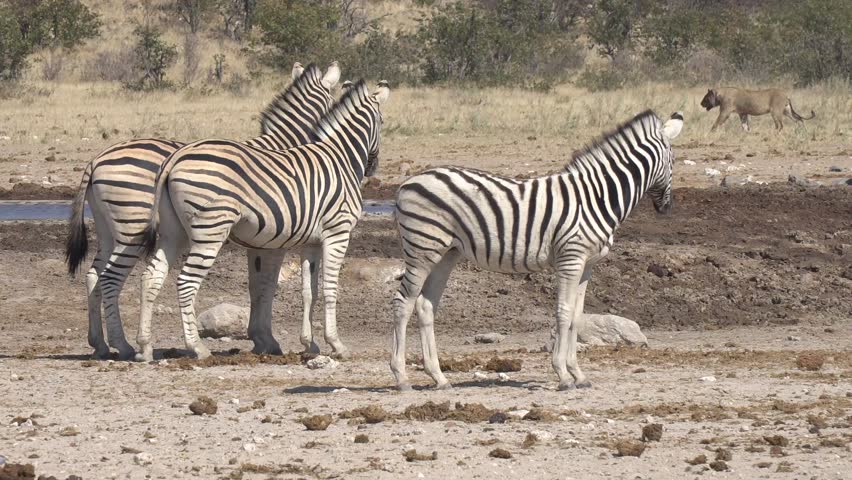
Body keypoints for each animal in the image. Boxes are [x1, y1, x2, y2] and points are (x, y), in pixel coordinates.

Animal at [65, 62, 340, 360]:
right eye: (334, 101)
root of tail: (95, 160)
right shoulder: (273, 241)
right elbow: (266, 285)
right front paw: (267, 340)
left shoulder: (258, 241)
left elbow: (256, 286)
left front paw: (260, 338)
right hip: (132, 227)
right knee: (110, 279)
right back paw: (124, 345)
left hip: (108, 230)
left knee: (94, 276)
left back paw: (100, 344)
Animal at [141, 79, 392, 358]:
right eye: (382, 121)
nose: (372, 167)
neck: (340, 156)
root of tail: (177, 155)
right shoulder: (338, 232)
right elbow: (329, 288)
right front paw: (336, 344)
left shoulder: (312, 241)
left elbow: (309, 291)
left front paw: (310, 344)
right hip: (210, 228)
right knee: (186, 282)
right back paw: (197, 347)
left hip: (173, 231)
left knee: (151, 276)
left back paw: (145, 346)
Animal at [390, 109, 684, 390]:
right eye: (673, 162)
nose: (667, 208)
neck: (597, 196)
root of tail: (408, 182)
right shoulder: (571, 258)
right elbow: (563, 313)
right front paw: (563, 375)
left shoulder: (587, 265)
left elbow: (577, 317)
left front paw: (578, 374)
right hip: (421, 249)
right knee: (403, 303)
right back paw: (401, 377)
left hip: (445, 253)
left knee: (425, 306)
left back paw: (438, 377)